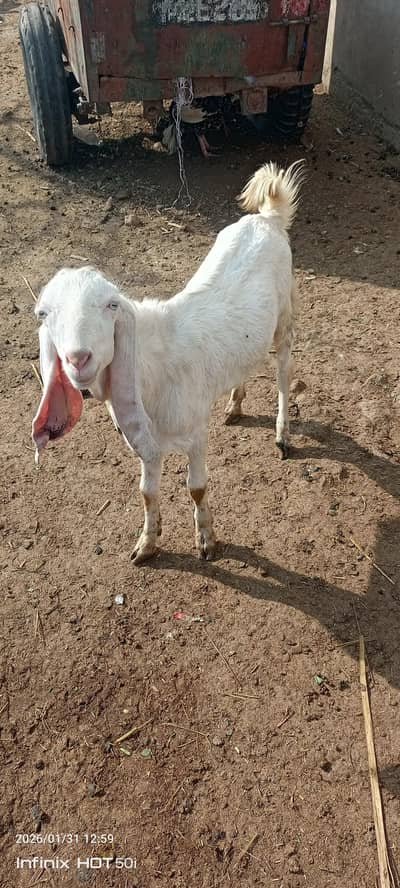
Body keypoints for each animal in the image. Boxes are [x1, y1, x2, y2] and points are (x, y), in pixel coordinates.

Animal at [32, 161, 303, 563]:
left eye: (111, 305)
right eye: (44, 314)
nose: (78, 358)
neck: (152, 369)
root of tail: (266, 218)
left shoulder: (195, 434)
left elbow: (197, 488)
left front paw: (206, 540)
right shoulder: (145, 440)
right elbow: (147, 493)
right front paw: (147, 543)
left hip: (284, 315)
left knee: (284, 372)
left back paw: (283, 433)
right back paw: (235, 404)